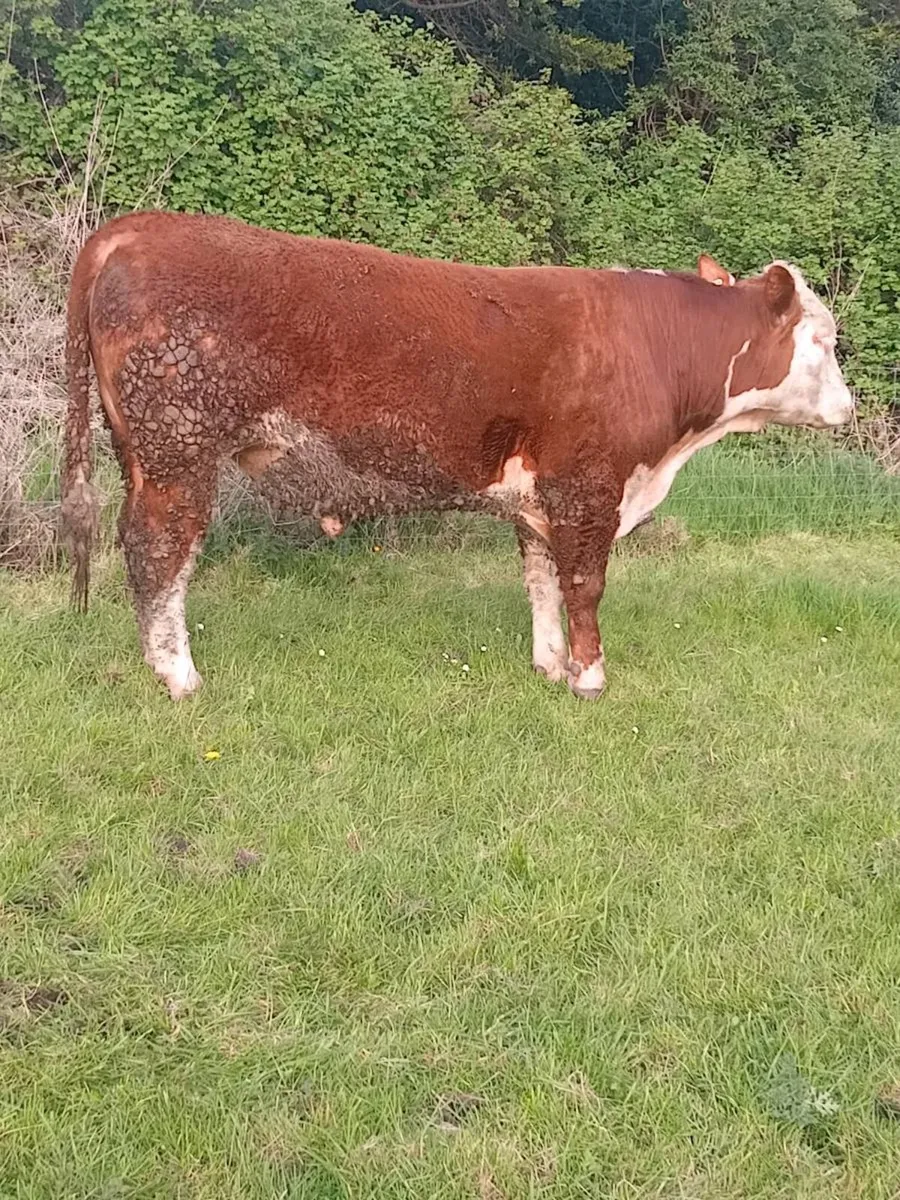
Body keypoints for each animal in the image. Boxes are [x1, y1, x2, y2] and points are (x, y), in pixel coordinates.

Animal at [60, 212, 854, 700]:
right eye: (825, 339)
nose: (849, 409)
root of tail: (135, 228)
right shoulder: (590, 486)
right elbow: (585, 585)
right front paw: (589, 678)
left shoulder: (539, 497)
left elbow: (542, 583)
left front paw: (549, 664)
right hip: (178, 449)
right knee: (160, 552)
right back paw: (179, 677)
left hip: (141, 452)